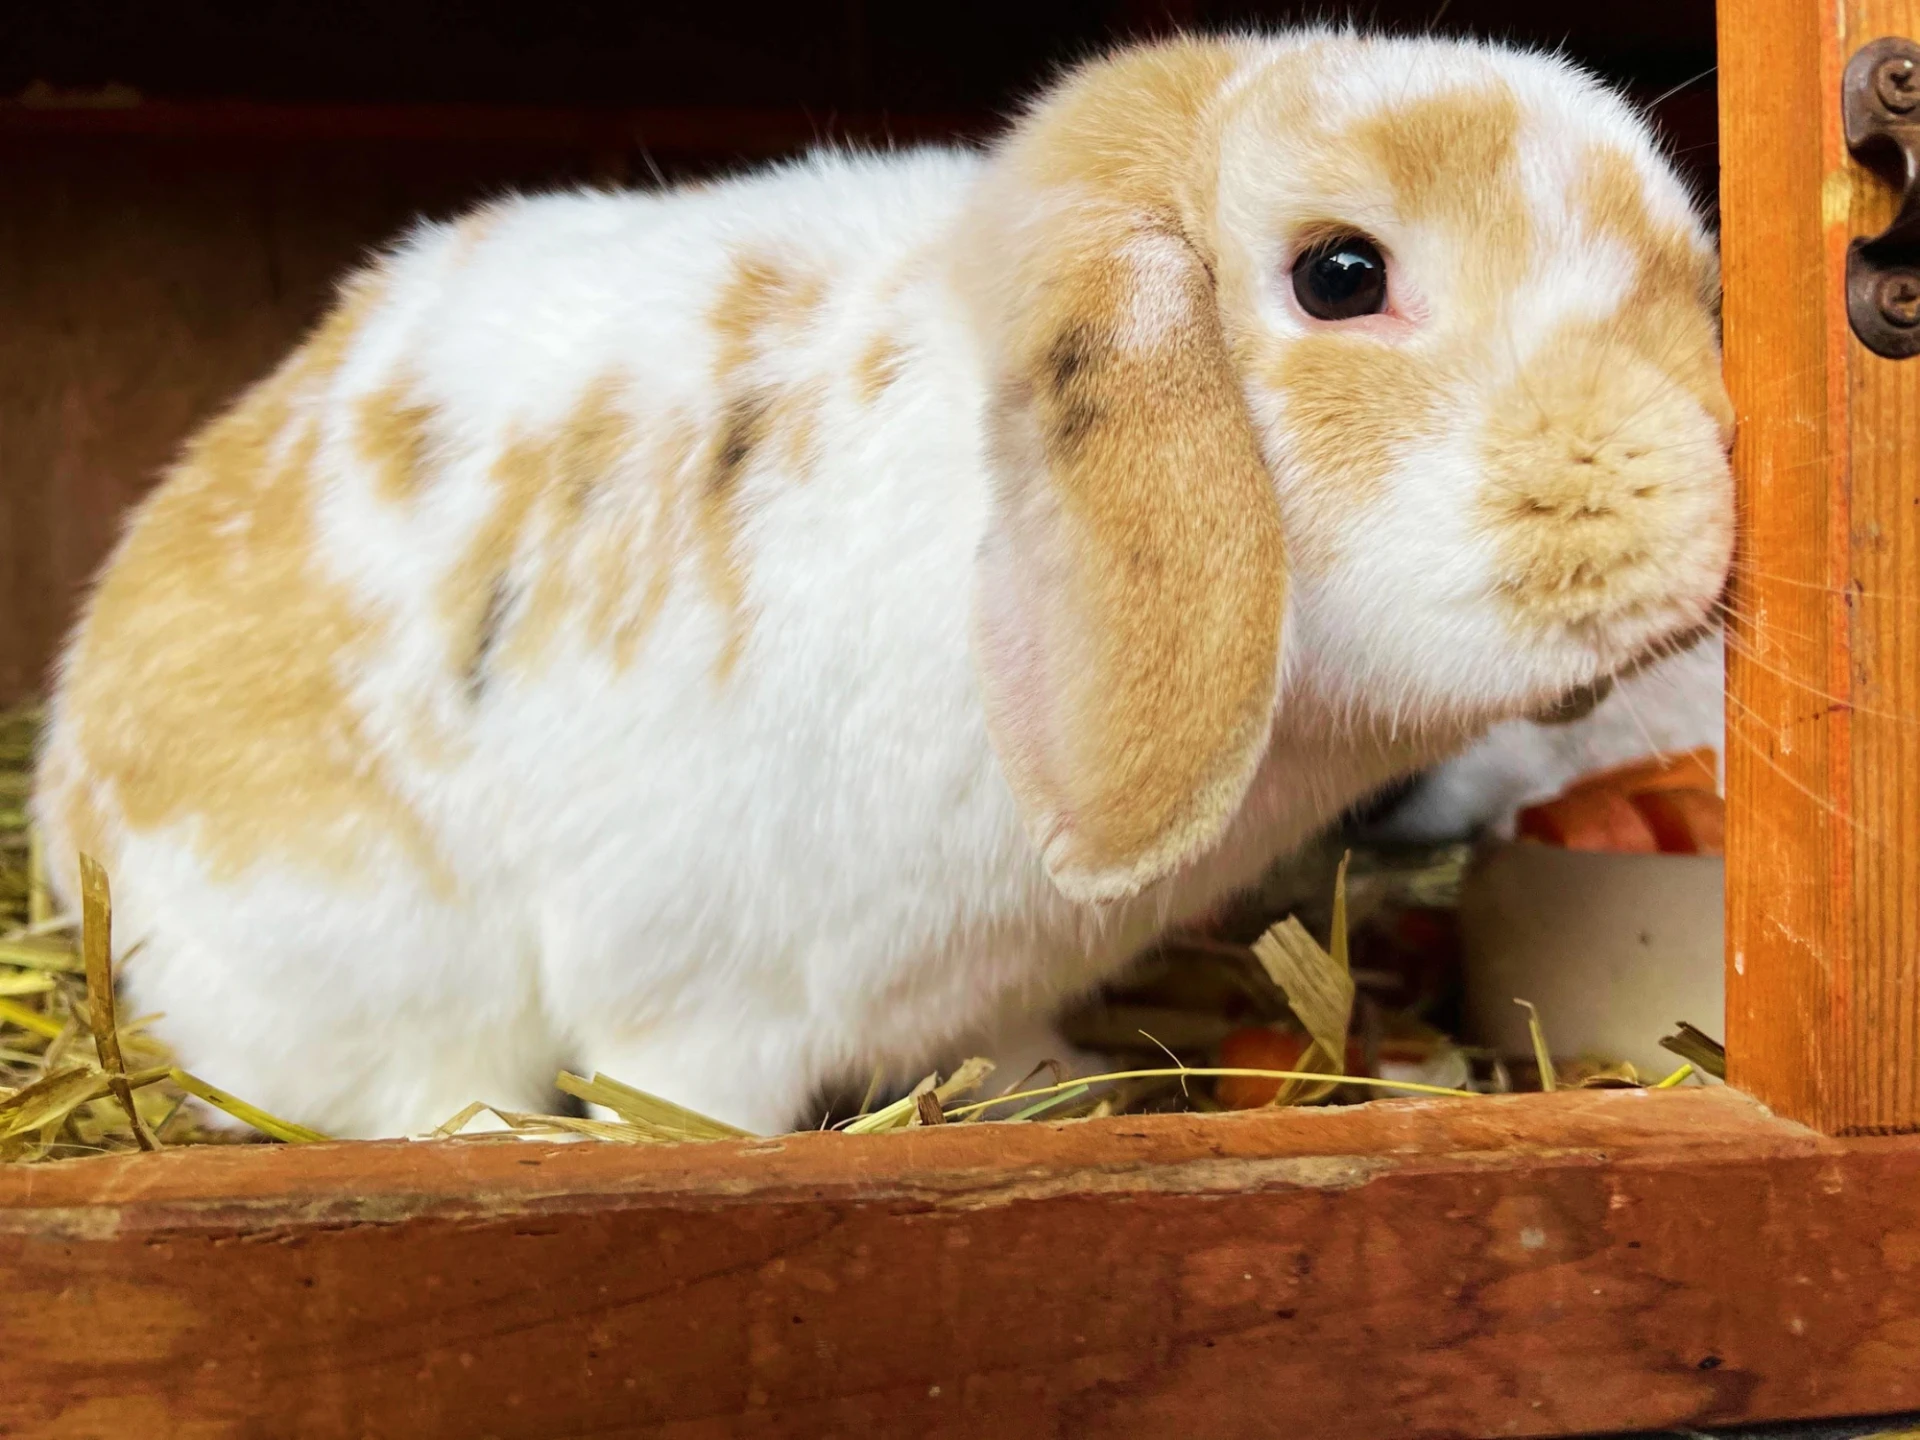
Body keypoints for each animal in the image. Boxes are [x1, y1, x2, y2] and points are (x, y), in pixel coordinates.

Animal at [33, 29, 1736, 1139]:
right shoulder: (689, 994)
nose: (1719, 452)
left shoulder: (977, 988)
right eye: (1341, 275)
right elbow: (684, 1096)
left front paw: (1065, 1093)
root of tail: (61, 808)